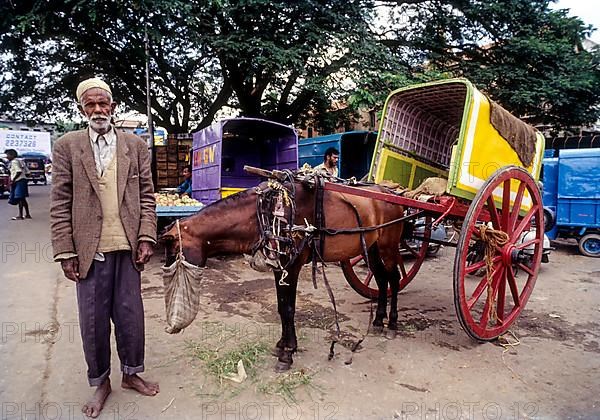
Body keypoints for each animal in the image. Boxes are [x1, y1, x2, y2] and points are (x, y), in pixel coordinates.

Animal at [159, 178, 406, 370]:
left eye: (172, 251)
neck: (267, 214)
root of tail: (390, 194)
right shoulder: (279, 268)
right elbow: (281, 307)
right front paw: (283, 344)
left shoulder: (292, 266)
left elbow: (288, 309)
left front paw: (287, 353)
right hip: (371, 247)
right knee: (381, 279)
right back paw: (378, 319)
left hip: (388, 245)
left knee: (393, 278)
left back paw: (392, 324)